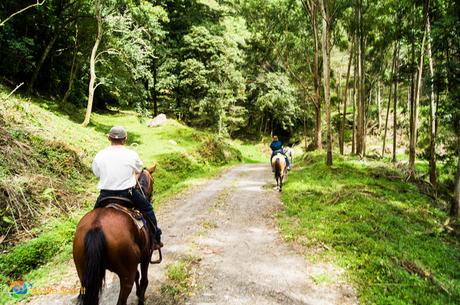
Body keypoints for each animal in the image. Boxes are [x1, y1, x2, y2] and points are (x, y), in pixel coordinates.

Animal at [72, 165, 158, 304]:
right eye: (153, 181)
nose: (150, 198)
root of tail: (96, 226)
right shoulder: (145, 256)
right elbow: (144, 280)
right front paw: (141, 298)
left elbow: (137, 276)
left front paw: (138, 293)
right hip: (126, 275)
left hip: (83, 274)